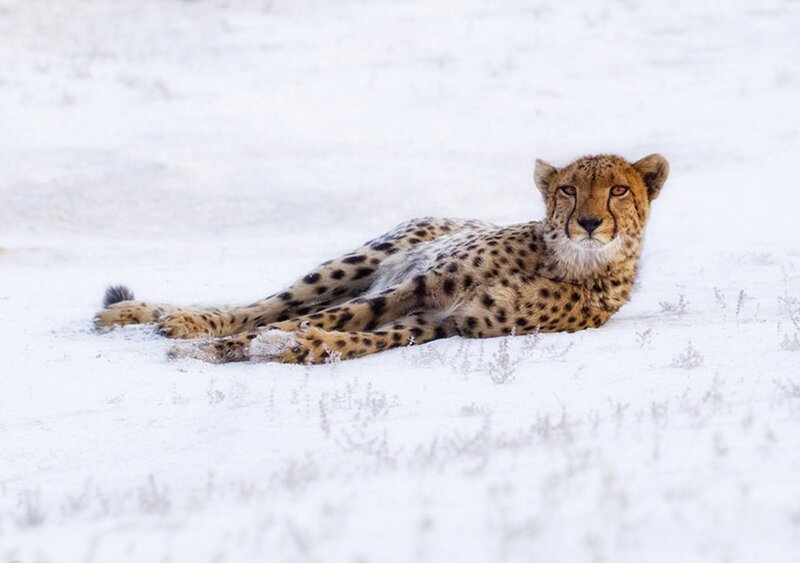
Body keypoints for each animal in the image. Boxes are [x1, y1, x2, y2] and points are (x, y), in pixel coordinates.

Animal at [94, 153, 669, 364]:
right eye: (569, 189)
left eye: (619, 189)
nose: (588, 223)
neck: (568, 260)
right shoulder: (418, 285)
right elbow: (309, 318)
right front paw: (226, 347)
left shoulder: (451, 320)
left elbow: (363, 336)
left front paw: (298, 348)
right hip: (358, 264)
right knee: (263, 304)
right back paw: (158, 319)